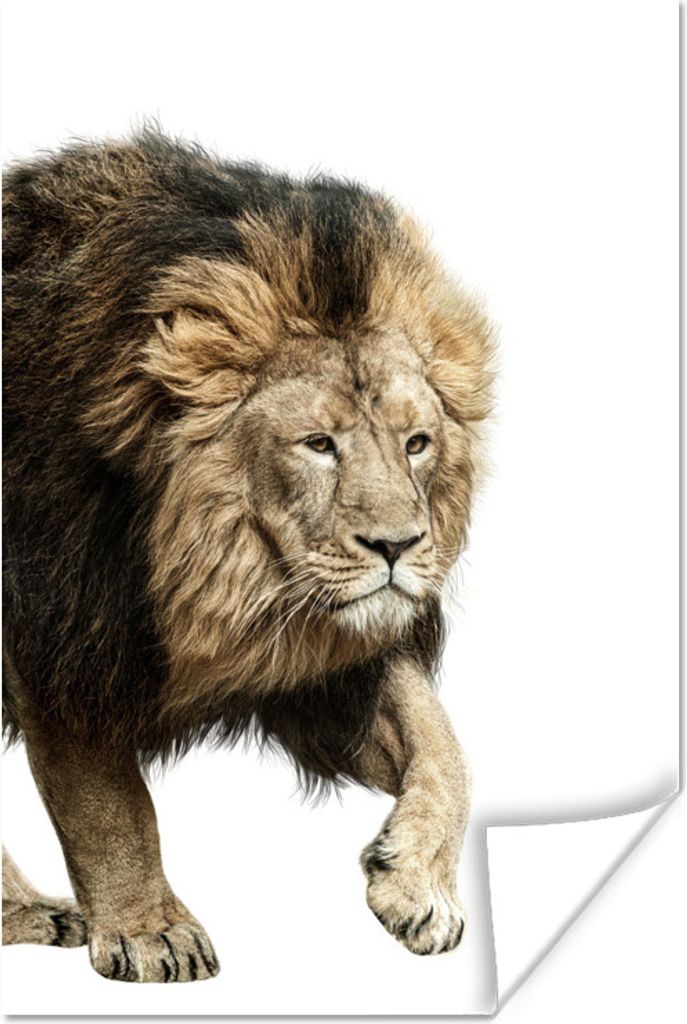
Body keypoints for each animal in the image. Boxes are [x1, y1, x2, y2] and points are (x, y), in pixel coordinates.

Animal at [2, 129, 494, 983]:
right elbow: (106, 798)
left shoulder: (325, 662)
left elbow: (444, 746)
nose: (398, 546)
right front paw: (151, 931)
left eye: (416, 443)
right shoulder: (65, 630)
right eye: (318, 443)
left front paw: (416, 886)